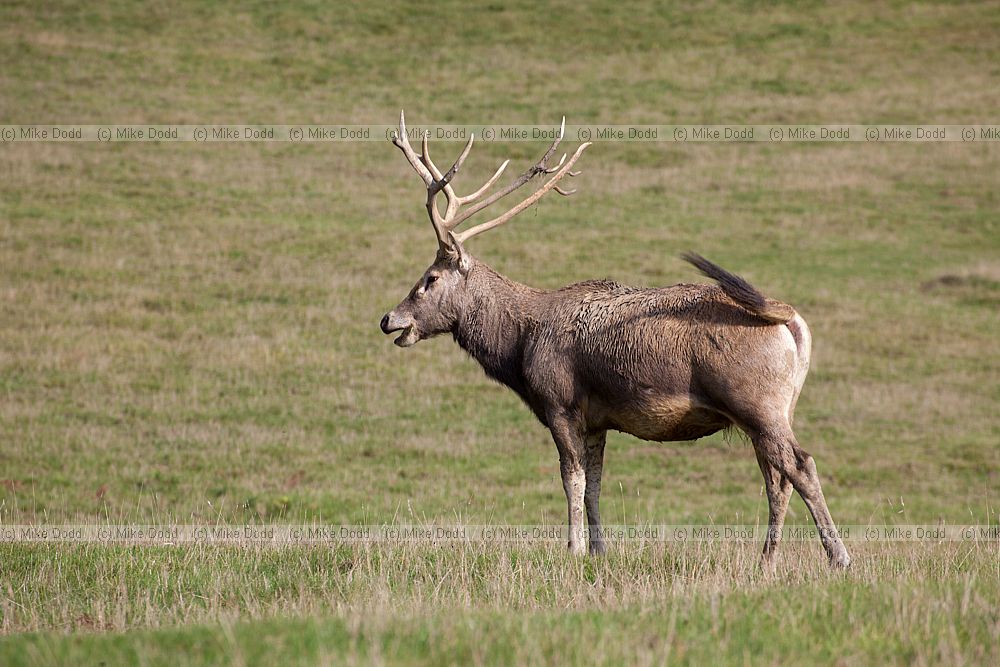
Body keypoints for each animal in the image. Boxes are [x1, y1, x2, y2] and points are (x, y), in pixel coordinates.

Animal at [379, 111, 851, 568]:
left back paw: (838, 557)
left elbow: (571, 478)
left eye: (430, 278)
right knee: (776, 477)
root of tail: (790, 320)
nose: (388, 319)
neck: (520, 346)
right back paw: (766, 561)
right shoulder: (596, 418)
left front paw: (572, 551)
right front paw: (599, 551)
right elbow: (595, 485)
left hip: (755, 399)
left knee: (800, 465)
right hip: (775, 408)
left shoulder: (560, 401)